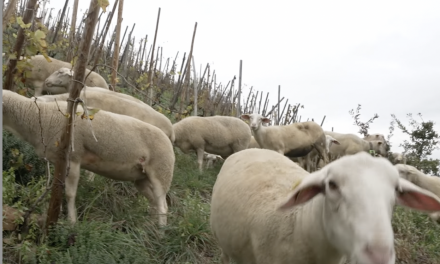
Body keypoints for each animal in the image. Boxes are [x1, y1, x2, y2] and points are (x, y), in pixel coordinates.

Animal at [3, 89, 175, 226]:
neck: (38, 116)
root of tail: (169, 139)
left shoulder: (73, 158)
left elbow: (70, 194)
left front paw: (72, 222)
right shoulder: (57, 160)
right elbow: (55, 187)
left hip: (162, 173)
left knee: (163, 206)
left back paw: (160, 232)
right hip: (141, 178)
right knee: (154, 203)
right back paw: (150, 227)